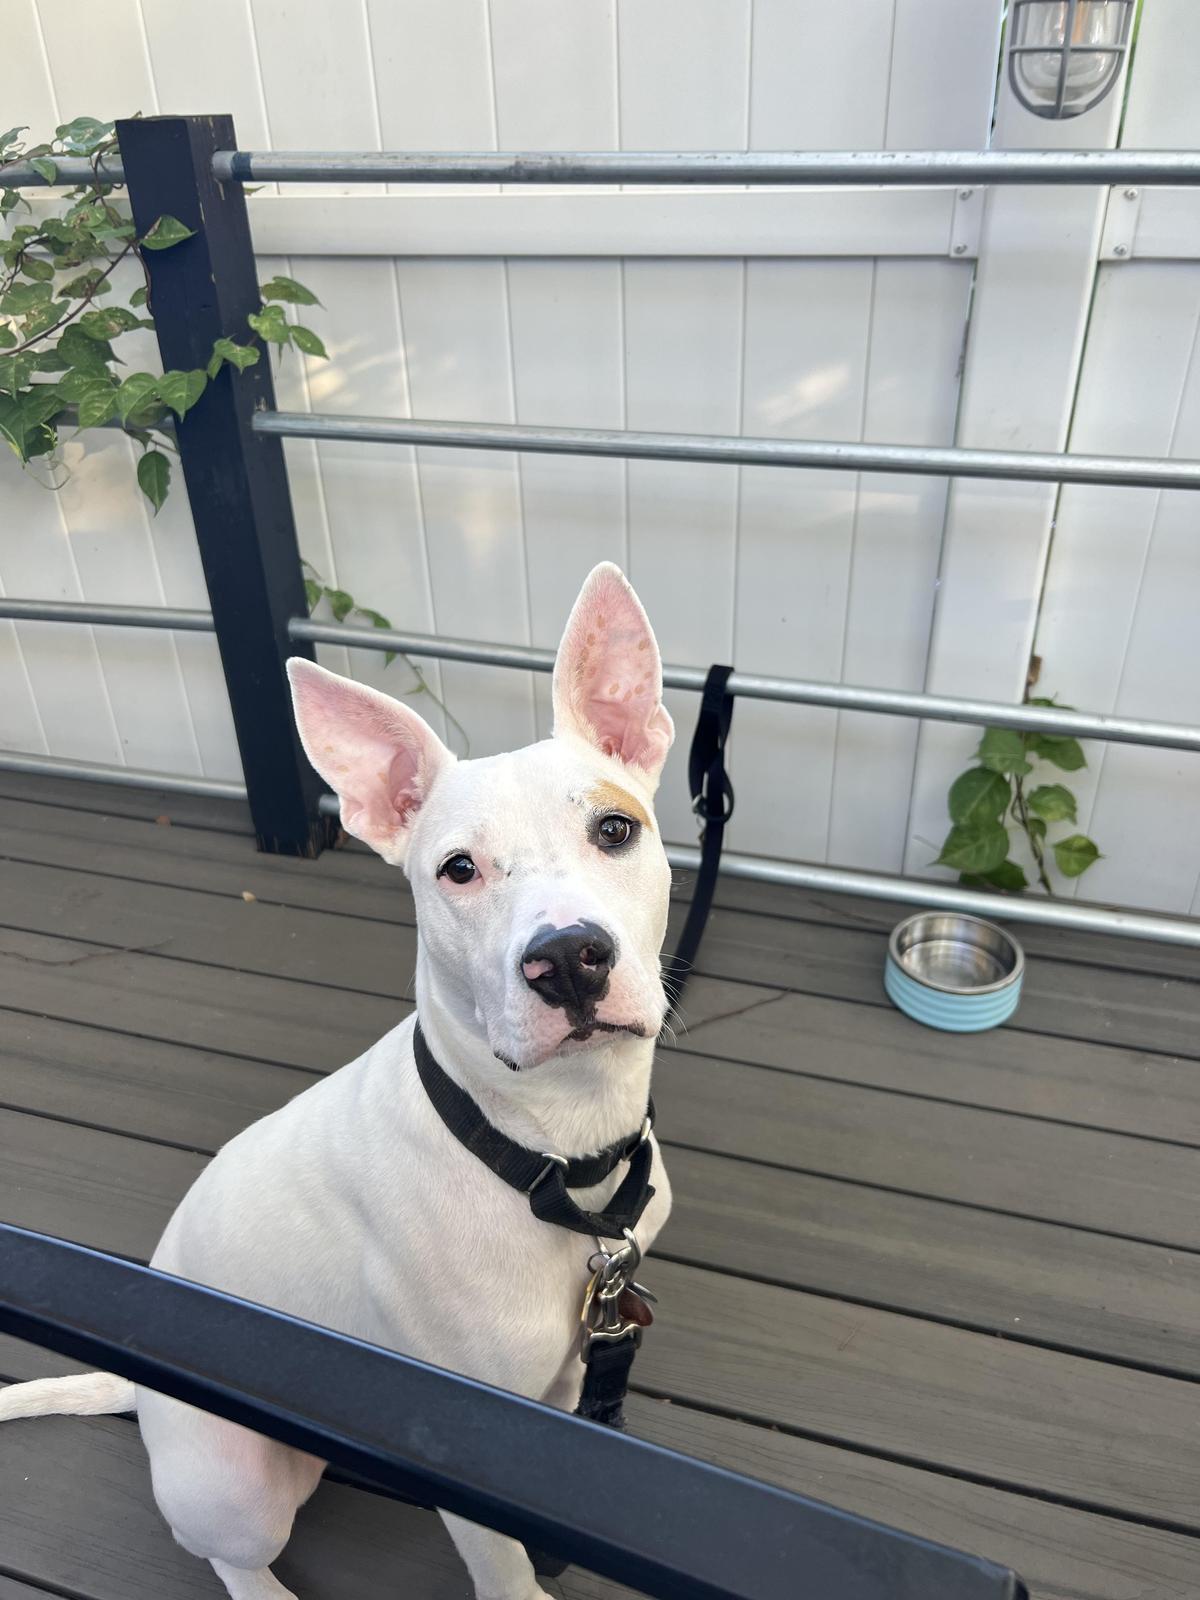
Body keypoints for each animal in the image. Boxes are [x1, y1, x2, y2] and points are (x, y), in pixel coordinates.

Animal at [0, 563, 676, 1600]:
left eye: (615, 827)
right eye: (458, 870)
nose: (567, 958)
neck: (549, 1152)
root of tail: (143, 1395)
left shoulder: (561, 1389)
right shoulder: (478, 1455)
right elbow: (509, 1575)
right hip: (233, 1487)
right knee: (231, 1560)